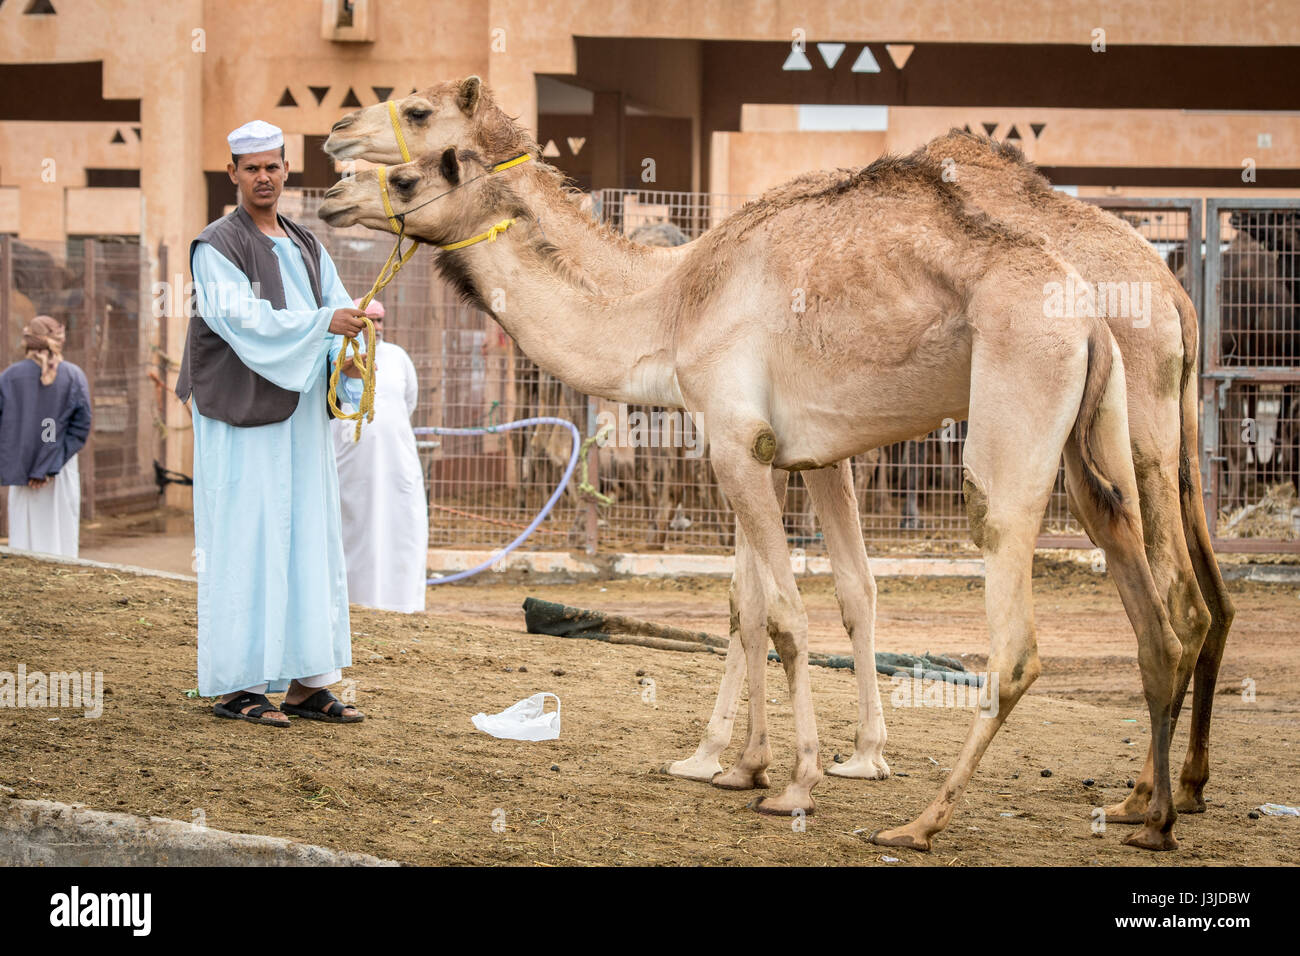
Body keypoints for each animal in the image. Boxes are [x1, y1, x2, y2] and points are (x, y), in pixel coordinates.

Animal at [322, 76, 1227, 837]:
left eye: (414, 133)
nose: (334, 173)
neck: (672, 297)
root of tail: (1162, 299)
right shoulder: (790, 451)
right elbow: (785, 600)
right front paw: (753, 763)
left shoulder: (734, 441)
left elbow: (782, 615)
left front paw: (789, 778)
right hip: (1094, 446)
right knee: (1166, 612)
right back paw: (1152, 809)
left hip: (1029, 422)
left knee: (1028, 635)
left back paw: (926, 823)